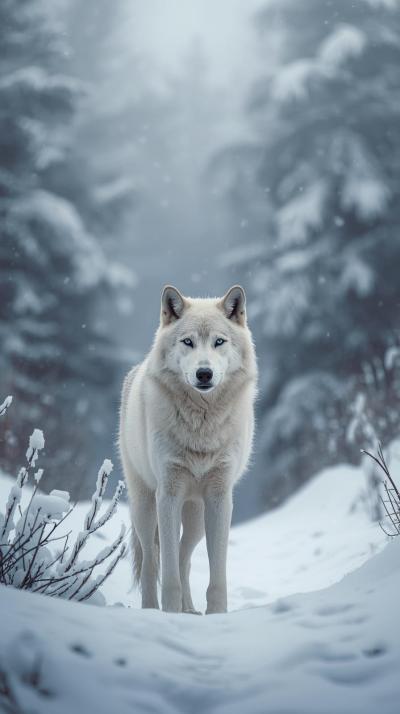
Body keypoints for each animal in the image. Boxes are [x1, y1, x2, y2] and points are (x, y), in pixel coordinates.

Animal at [119, 285, 257, 614]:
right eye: (188, 342)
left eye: (219, 341)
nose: (204, 373)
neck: (202, 425)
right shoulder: (167, 495)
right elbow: (167, 572)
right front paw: (169, 613)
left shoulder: (220, 498)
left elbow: (216, 573)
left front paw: (216, 613)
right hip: (145, 506)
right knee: (151, 560)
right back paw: (152, 608)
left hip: (196, 516)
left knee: (184, 556)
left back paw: (189, 609)